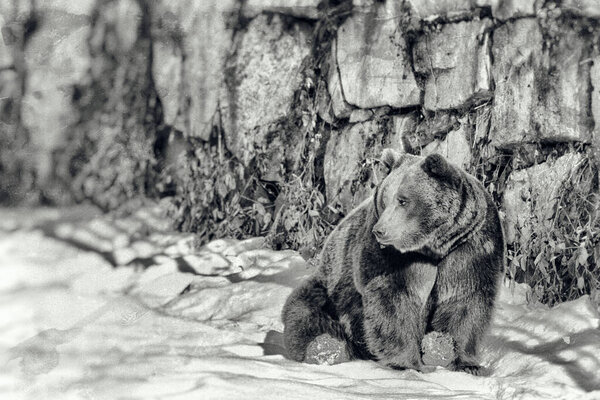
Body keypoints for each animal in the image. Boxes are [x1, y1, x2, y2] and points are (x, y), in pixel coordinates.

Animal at [282, 148, 506, 374]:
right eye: (385, 198)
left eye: (403, 200)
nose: (380, 231)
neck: (431, 247)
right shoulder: (392, 258)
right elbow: (394, 299)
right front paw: (408, 363)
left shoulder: (470, 246)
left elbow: (466, 300)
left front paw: (461, 360)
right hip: (331, 289)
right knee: (307, 313)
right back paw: (324, 348)